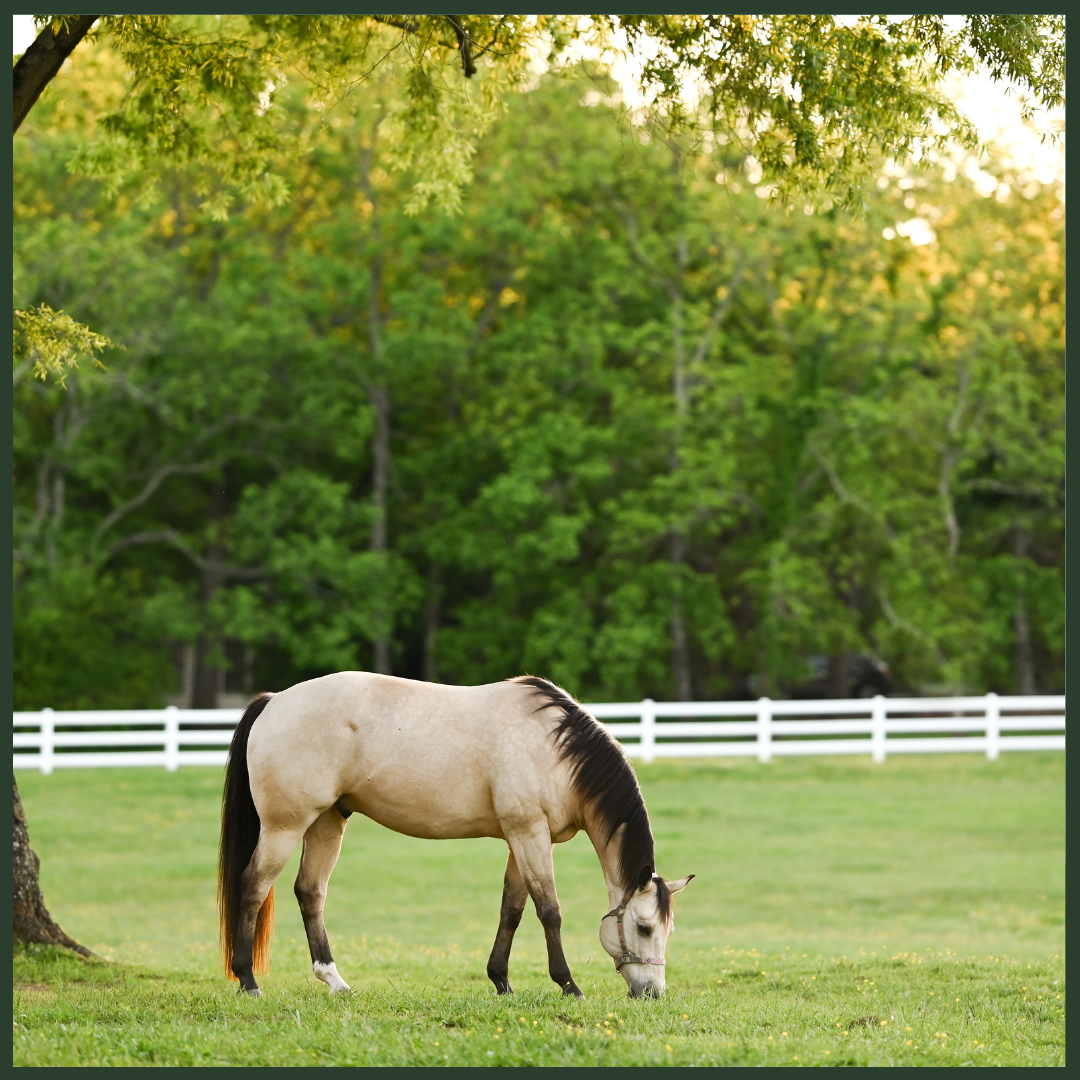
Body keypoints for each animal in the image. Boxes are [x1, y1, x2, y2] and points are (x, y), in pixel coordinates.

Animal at [218, 672, 693, 999]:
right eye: (645, 927)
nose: (652, 993)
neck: (554, 750)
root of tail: (275, 701)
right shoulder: (530, 835)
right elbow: (549, 911)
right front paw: (568, 985)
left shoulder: (520, 839)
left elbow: (512, 910)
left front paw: (501, 982)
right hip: (285, 827)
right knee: (253, 886)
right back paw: (248, 980)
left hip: (327, 823)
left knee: (310, 892)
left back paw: (334, 980)